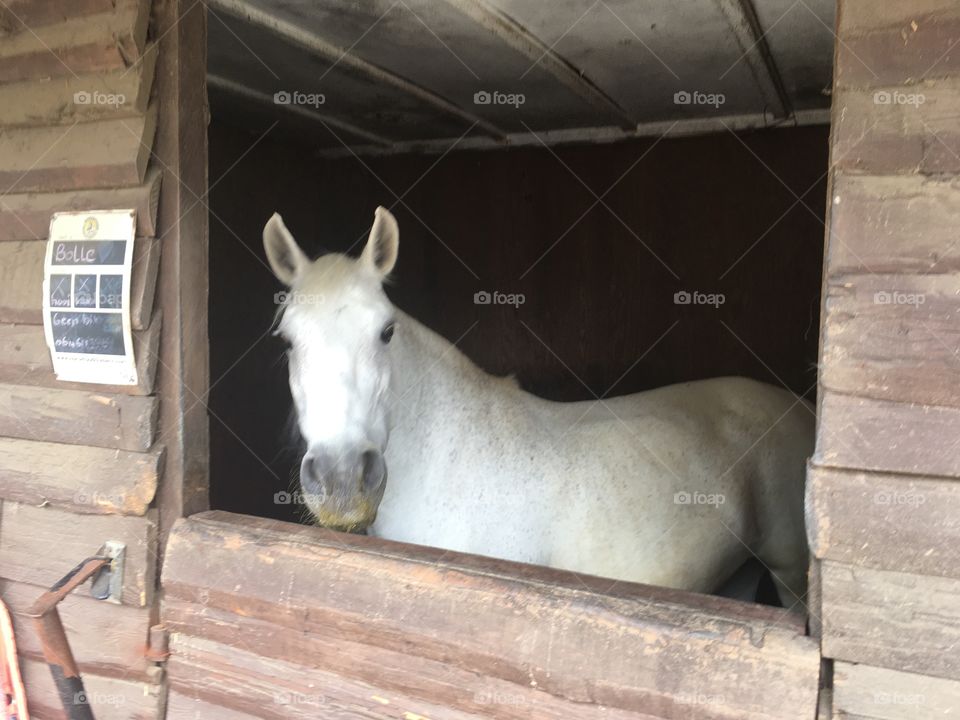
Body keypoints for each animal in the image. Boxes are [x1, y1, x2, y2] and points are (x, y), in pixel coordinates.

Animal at [263, 206, 814, 606]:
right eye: (287, 341)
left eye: (386, 331)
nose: (342, 481)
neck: (447, 464)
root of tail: (801, 407)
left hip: (791, 573)